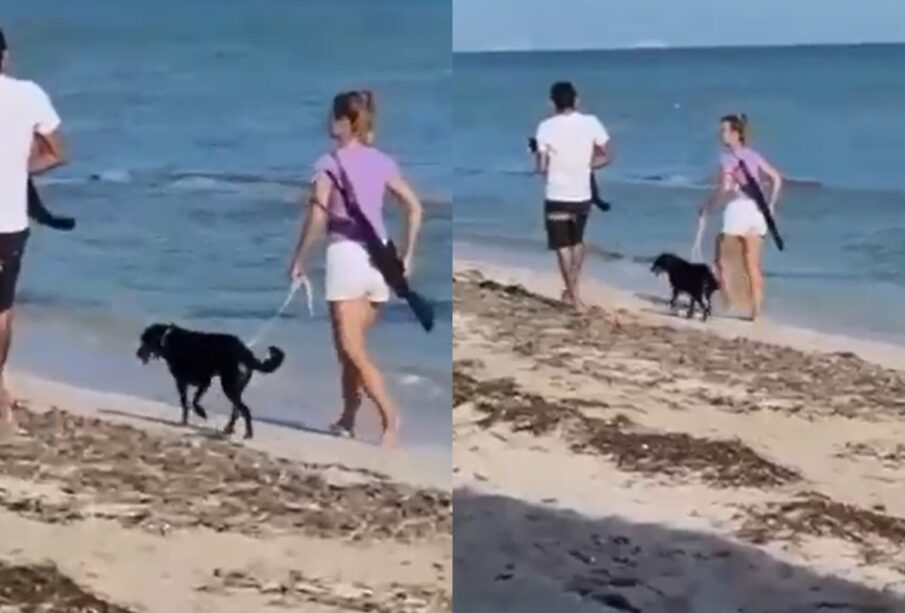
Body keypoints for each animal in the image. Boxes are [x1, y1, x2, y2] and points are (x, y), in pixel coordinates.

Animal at [136, 322, 284, 438]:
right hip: (236, 386)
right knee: (237, 409)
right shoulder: (190, 382)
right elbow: (186, 402)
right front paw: (186, 419)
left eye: (145, 341)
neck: (168, 340)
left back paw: (248, 433)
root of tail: (243, 349)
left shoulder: (200, 381)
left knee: (244, 409)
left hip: (228, 385)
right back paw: (229, 428)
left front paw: (200, 413)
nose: (137, 354)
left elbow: (193, 401)